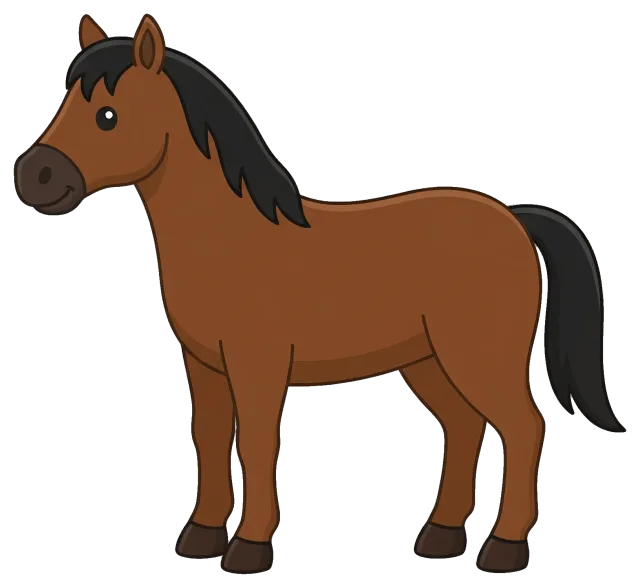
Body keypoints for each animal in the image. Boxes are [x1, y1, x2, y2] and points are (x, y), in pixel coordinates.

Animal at [14, 14, 623, 575]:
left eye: (107, 115)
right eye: (66, 104)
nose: (34, 177)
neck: (227, 236)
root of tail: (514, 218)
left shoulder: (256, 366)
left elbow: (255, 445)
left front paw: (249, 548)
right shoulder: (205, 367)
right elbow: (209, 441)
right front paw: (201, 537)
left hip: (477, 359)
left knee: (524, 428)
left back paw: (503, 549)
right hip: (429, 361)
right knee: (464, 426)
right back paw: (441, 537)